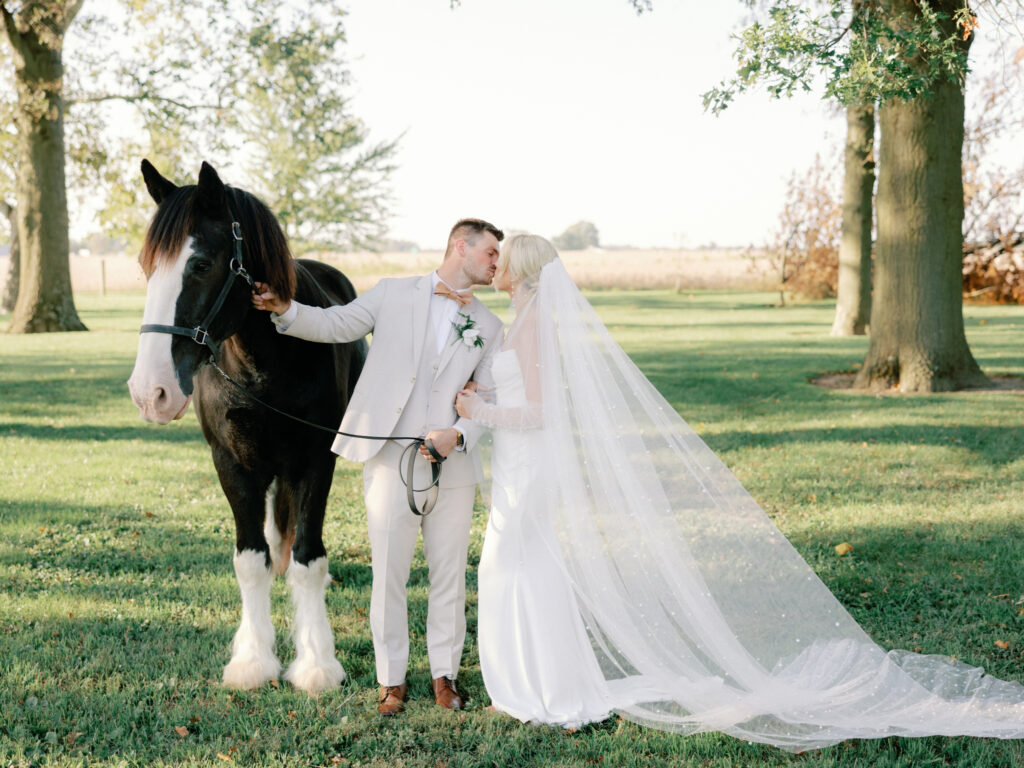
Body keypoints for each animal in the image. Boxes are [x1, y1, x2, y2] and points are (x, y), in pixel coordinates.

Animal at [130, 159, 364, 696]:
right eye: (146, 266)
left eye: (200, 265)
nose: (150, 392)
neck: (265, 365)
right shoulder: (232, 464)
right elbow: (250, 560)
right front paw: (253, 660)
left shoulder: (315, 461)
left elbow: (308, 558)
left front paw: (317, 664)